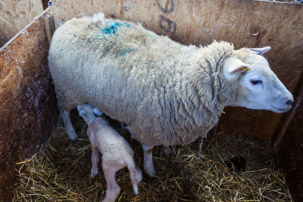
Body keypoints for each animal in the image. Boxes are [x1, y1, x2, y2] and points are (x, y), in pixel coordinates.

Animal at [48, 13, 294, 176]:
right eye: (255, 81)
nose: (290, 100)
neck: (183, 79)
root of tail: (66, 22)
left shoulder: (169, 123)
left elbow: (164, 144)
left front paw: (166, 150)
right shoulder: (148, 124)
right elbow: (147, 150)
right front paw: (150, 171)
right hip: (65, 88)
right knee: (64, 111)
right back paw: (71, 133)